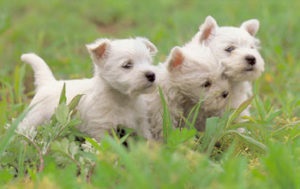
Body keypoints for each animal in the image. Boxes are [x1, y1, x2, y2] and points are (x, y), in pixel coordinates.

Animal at [18, 37, 159, 140]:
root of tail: (48, 83)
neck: (122, 99)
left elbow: (145, 139)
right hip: (34, 117)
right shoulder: (101, 128)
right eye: (127, 65)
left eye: (148, 62)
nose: (152, 75)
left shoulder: (141, 123)